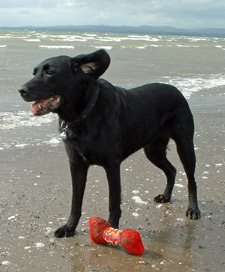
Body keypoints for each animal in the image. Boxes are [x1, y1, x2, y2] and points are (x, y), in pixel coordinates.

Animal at [19, 49, 201, 238]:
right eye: (34, 73)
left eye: (50, 72)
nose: (21, 90)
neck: (83, 117)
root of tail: (177, 90)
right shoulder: (76, 165)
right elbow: (76, 202)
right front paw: (69, 227)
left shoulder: (112, 166)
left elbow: (113, 203)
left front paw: (111, 230)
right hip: (153, 150)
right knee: (171, 170)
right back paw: (166, 196)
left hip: (185, 145)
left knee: (191, 180)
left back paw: (193, 209)